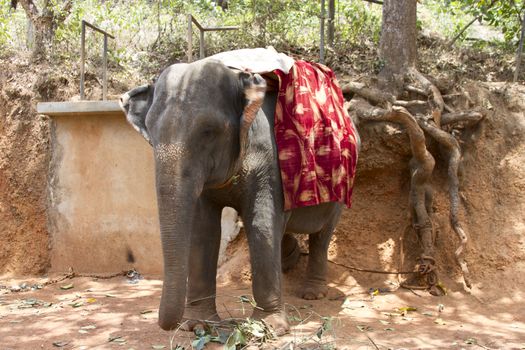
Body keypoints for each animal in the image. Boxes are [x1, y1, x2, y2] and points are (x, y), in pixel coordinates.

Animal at [119, 58, 352, 334]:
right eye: (151, 133)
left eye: (208, 131)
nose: (167, 325)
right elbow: (203, 230)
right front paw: (197, 325)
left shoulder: (270, 161)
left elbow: (262, 224)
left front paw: (269, 327)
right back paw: (289, 261)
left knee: (322, 234)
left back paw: (312, 293)